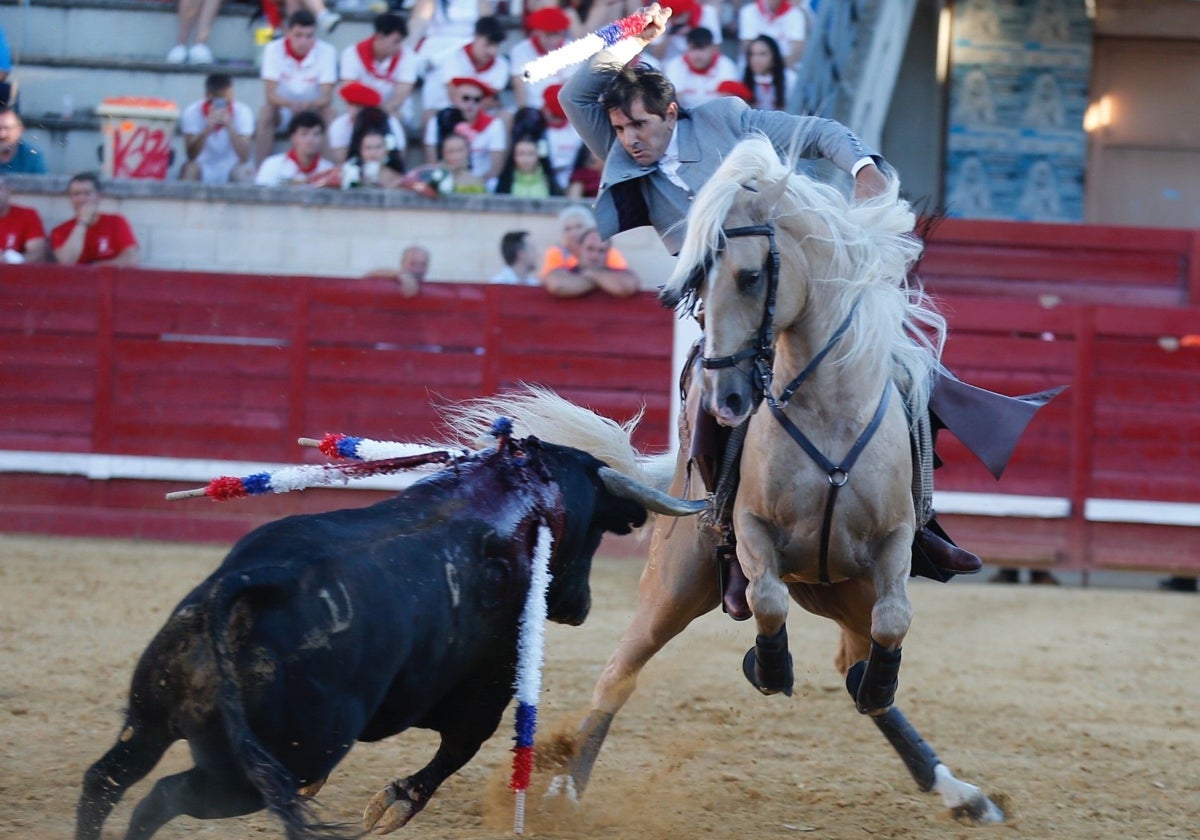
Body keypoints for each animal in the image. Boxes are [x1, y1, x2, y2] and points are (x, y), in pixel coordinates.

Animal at [77, 436, 700, 835]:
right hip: (249, 771)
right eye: (595, 531)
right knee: (161, 796)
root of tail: (245, 588)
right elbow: (459, 748)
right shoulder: (487, 690)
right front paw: (395, 804)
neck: (514, 498)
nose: (580, 606)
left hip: (150, 716)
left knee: (104, 781)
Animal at [453, 136, 1008, 820]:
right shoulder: (751, 530)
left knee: (855, 663)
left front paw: (876, 682)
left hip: (840, 588)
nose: (728, 399)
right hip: (677, 581)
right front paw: (767, 669)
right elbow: (765, 600)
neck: (827, 414)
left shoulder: (894, 543)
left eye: (750, 276)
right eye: (696, 281)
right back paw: (566, 789)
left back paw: (954, 784)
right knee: (618, 672)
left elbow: (894, 621)